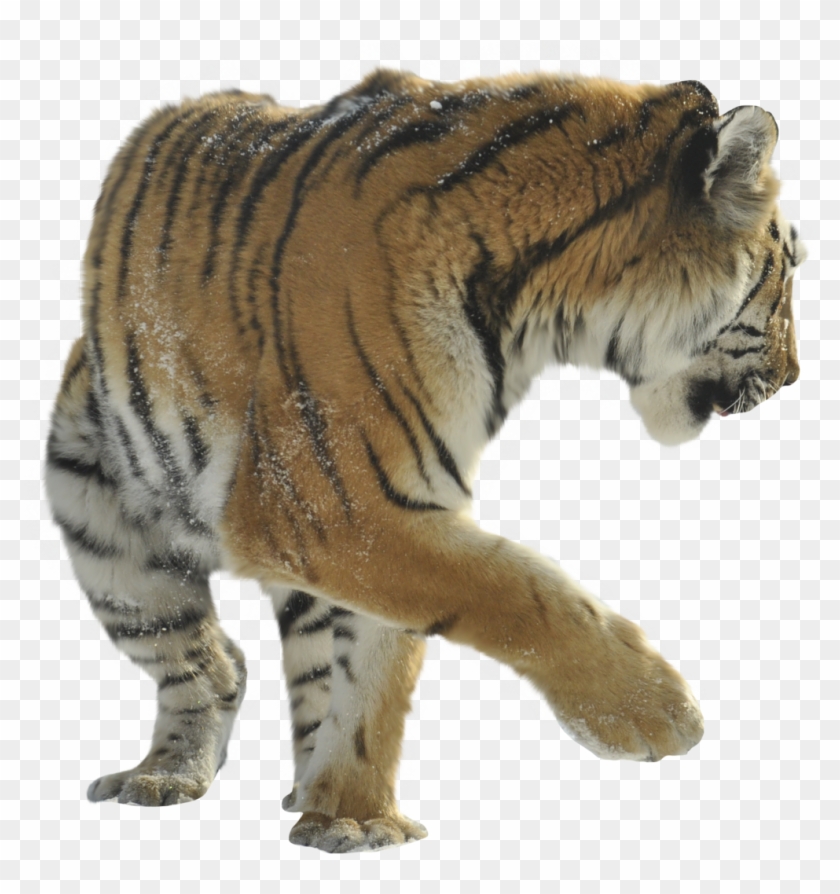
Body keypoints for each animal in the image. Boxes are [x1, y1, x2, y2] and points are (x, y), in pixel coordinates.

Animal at [45, 69, 804, 852]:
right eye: (790, 270)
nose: (794, 377)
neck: (543, 313)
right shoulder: (332, 504)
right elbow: (513, 591)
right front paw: (654, 711)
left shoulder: (399, 499)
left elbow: (379, 672)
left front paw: (353, 816)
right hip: (111, 543)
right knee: (208, 665)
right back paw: (162, 778)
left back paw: (303, 791)